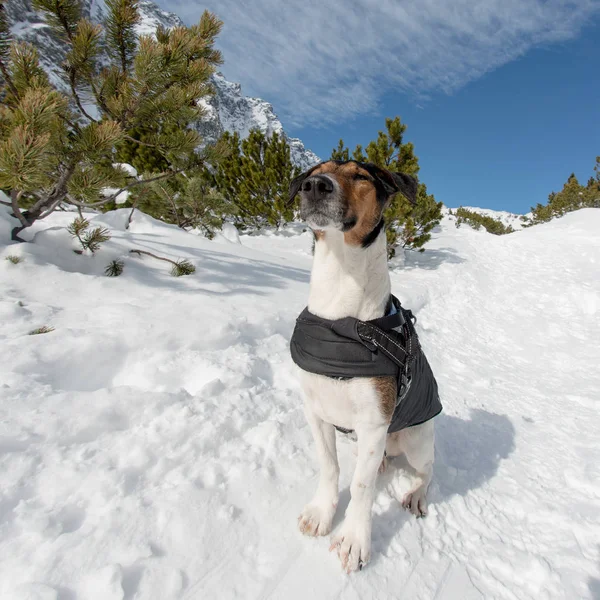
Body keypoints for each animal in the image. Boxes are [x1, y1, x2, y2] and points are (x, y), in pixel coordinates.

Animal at [288, 159, 442, 572]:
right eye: (319, 168)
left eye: (361, 176)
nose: (314, 185)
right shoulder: (316, 411)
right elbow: (330, 467)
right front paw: (321, 514)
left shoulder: (374, 422)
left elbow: (361, 487)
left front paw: (354, 540)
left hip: (416, 440)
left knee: (428, 469)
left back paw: (417, 494)